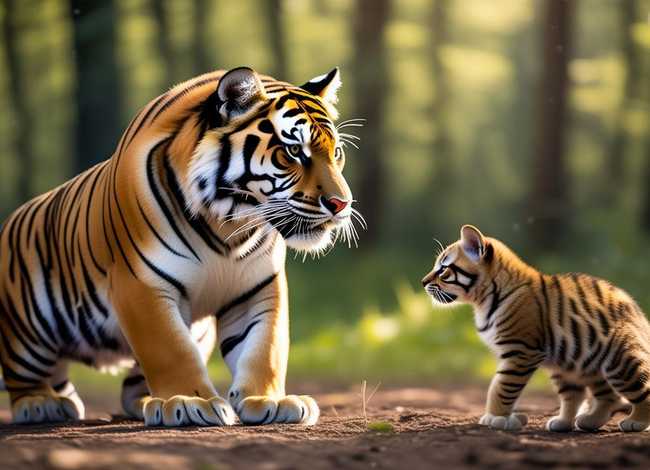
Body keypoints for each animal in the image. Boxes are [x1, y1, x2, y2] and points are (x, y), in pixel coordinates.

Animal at [0, 66, 364, 426]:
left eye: (336, 152)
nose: (342, 204)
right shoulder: (141, 285)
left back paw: (141, 401)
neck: (228, 224)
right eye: (293, 152)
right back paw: (42, 404)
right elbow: (170, 349)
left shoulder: (259, 287)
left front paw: (268, 401)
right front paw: (191, 403)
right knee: (27, 375)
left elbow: (265, 347)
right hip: (28, 333)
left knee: (128, 388)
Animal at [422, 225, 650, 432]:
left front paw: (496, 418)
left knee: (641, 391)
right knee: (595, 396)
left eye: (443, 269)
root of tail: (639, 313)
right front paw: (500, 418)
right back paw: (573, 422)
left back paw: (636, 422)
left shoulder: (520, 351)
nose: (423, 282)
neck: (482, 300)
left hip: (619, 361)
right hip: (573, 366)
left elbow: (500, 388)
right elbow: (498, 386)